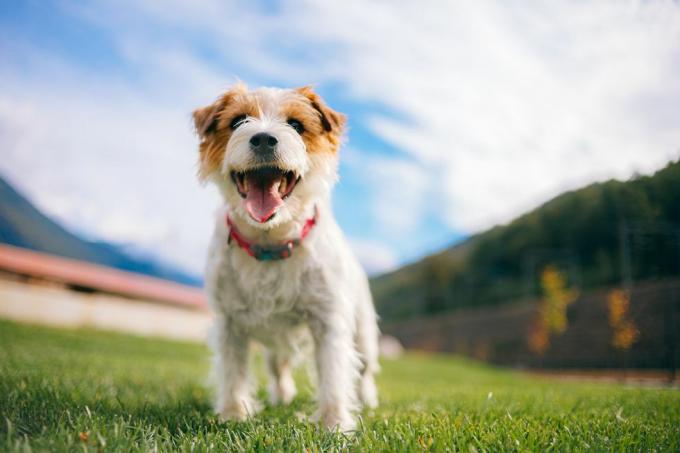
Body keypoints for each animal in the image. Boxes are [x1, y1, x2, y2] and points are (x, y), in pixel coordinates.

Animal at [194, 82, 380, 430]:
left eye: (296, 124)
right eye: (238, 121)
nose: (264, 138)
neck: (270, 243)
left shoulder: (328, 319)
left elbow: (333, 374)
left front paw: (335, 425)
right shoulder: (229, 322)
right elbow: (233, 372)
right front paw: (233, 415)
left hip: (364, 332)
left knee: (365, 370)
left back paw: (370, 399)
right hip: (274, 341)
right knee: (279, 367)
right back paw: (282, 396)